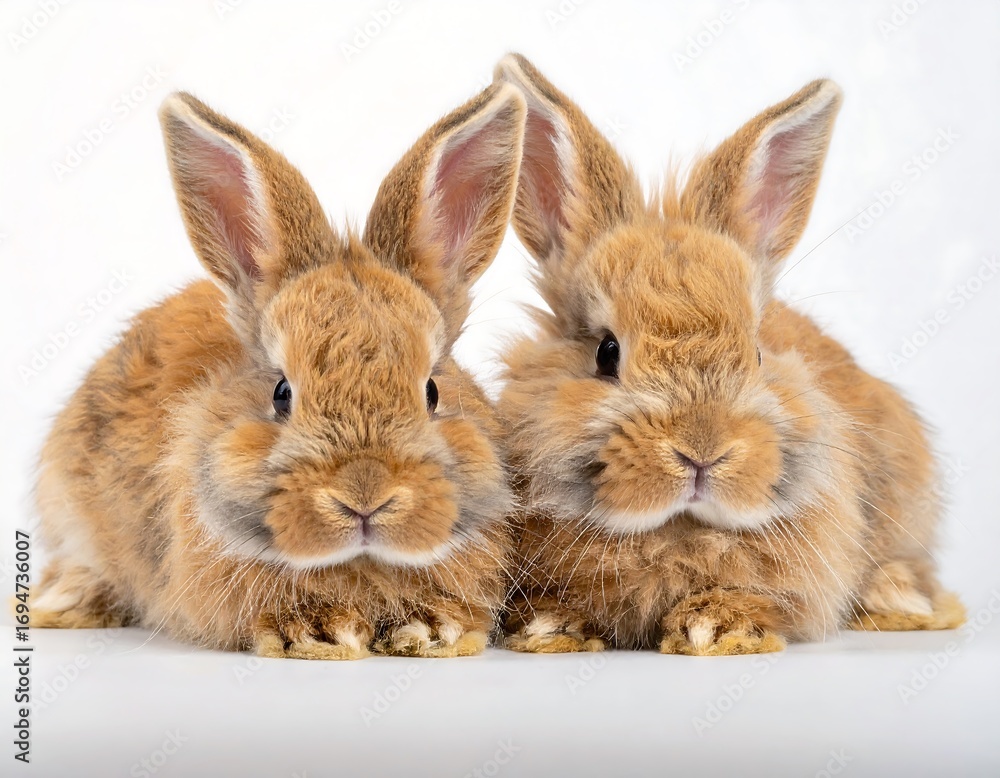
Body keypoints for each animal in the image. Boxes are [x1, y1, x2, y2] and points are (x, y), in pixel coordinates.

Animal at [494, 54, 965, 656]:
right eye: (606, 352)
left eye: (759, 354)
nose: (702, 452)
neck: (677, 530)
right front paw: (549, 627)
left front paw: (715, 629)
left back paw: (904, 599)